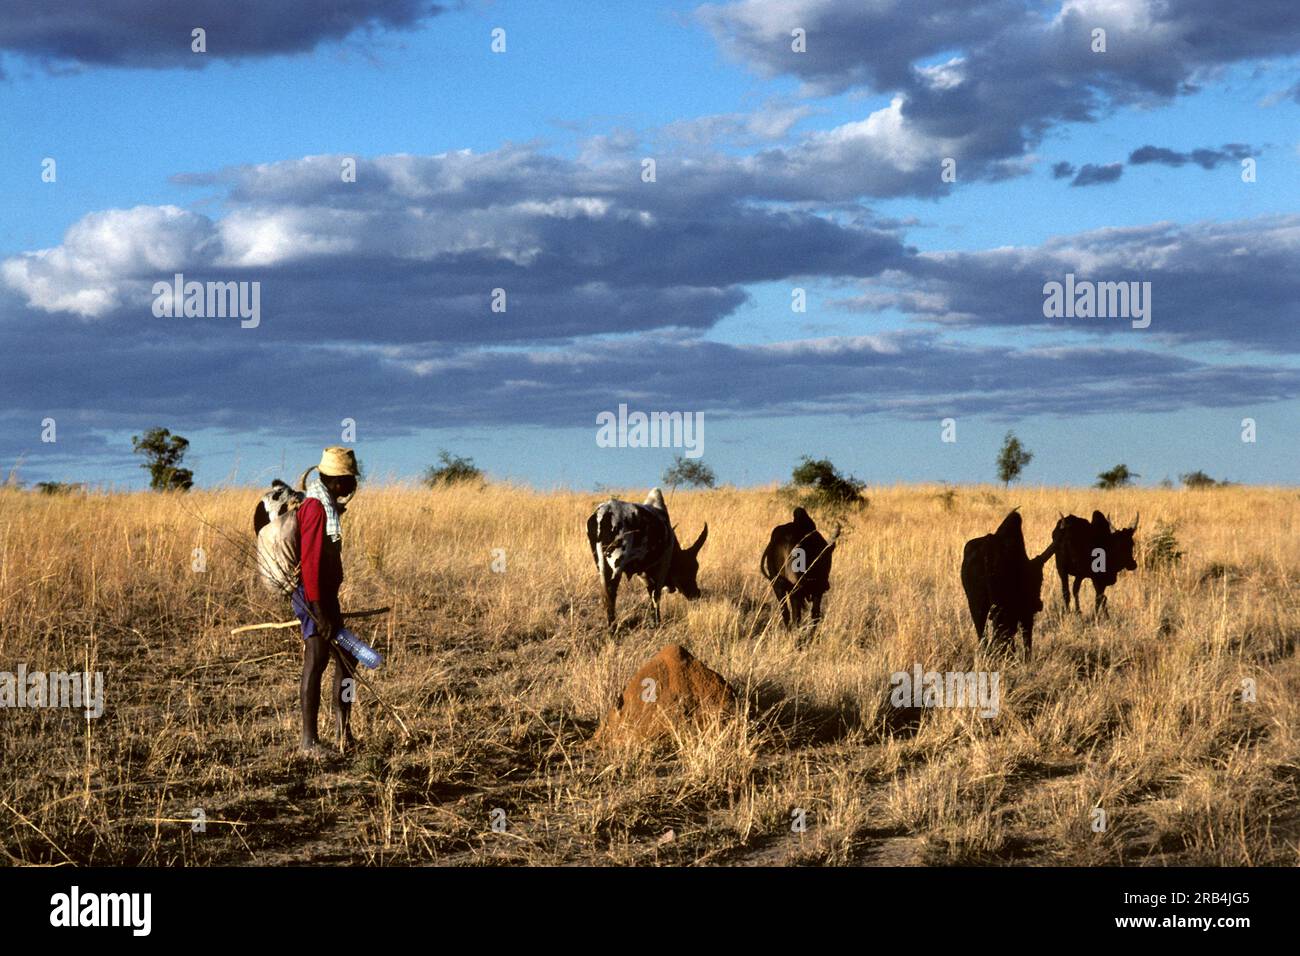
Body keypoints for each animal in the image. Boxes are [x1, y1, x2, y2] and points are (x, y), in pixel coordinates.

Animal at [590, 489, 712, 632]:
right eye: (690, 568)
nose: (696, 593)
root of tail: (604, 512)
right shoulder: (661, 568)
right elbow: (655, 596)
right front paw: (657, 622)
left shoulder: (644, 573)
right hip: (616, 565)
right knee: (611, 593)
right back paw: (613, 629)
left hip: (602, 565)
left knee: (606, 595)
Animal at [759, 504, 837, 632]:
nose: (827, 585)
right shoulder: (813, 590)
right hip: (794, 589)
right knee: (796, 615)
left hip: (779, 585)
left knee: (787, 613)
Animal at [967, 512, 1055, 660]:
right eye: (1039, 579)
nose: (1039, 604)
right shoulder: (1025, 612)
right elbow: (1026, 640)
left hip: (977, 607)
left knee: (984, 636)